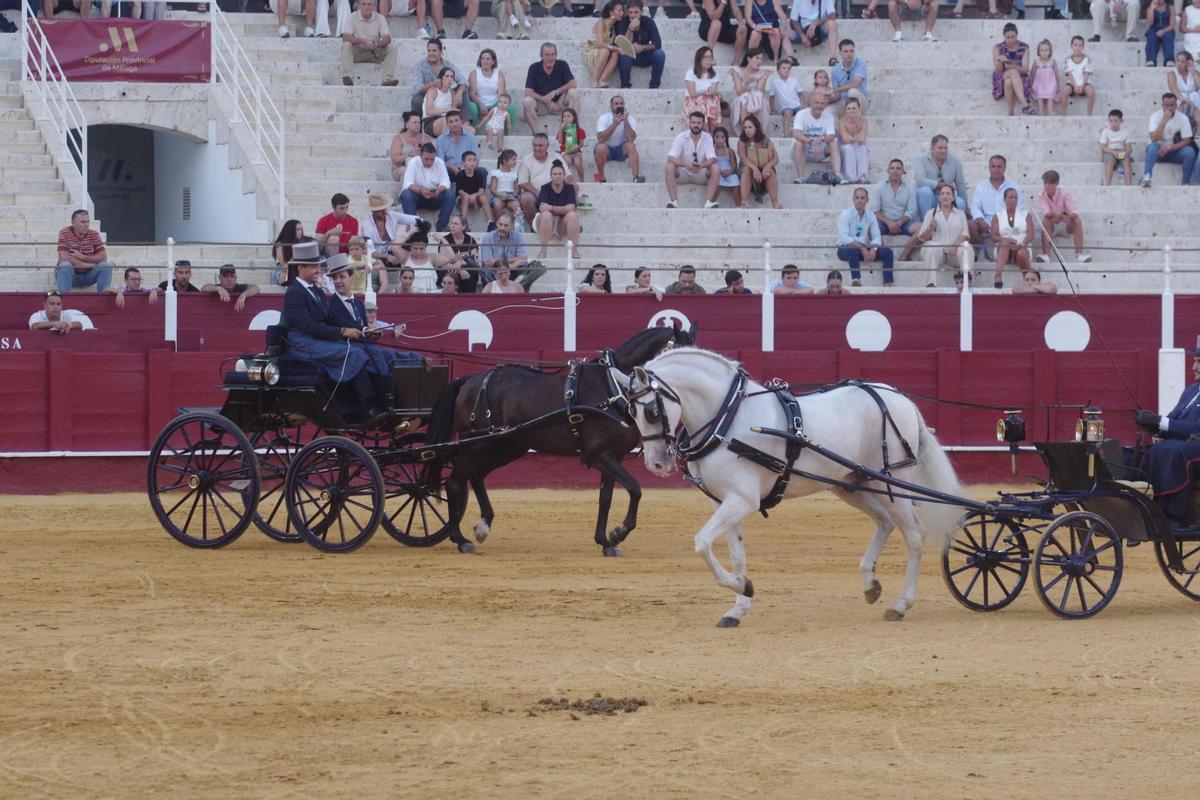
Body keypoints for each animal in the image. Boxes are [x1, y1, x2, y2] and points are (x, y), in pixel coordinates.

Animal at [422, 324, 697, 555]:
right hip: (476, 443)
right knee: (455, 482)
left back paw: (483, 526)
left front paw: (605, 541)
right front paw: (618, 533)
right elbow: (635, 489)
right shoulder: (598, 454)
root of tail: (469, 380)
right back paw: (460, 539)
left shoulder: (613, 455)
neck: (612, 388)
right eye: (678, 356)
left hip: (507, 445)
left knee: (476, 475)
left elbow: (605, 499)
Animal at [613, 347, 964, 627]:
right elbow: (736, 554)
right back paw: (870, 585)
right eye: (629, 411)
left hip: (890, 482)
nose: (656, 465)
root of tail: (898, 397)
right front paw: (738, 605)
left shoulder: (743, 501)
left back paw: (901, 604)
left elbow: (701, 543)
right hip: (852, 485)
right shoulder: (725, 501)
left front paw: (741, 587)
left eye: (651, 410)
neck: (728, 419)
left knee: (914, 534)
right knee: (886, 522)